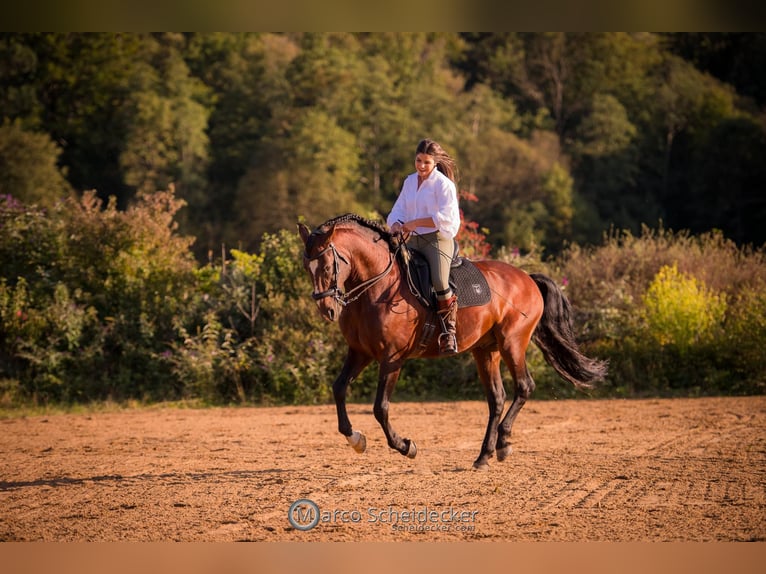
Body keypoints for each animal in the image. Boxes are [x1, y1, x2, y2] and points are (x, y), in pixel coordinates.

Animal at [298, 214, 608, 470]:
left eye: (328, 264)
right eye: (306, 267)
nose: (327, 310)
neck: (376, 287)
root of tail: (527, 278)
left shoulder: (392, 358)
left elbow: (380, 408)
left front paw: (406, 446)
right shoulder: (360, 352)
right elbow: (339, 389)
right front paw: (356, 439)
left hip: (513, 343)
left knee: (524, 387)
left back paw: (503, 444)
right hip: (486, 351)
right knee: (496, 398)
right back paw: (484, 455)